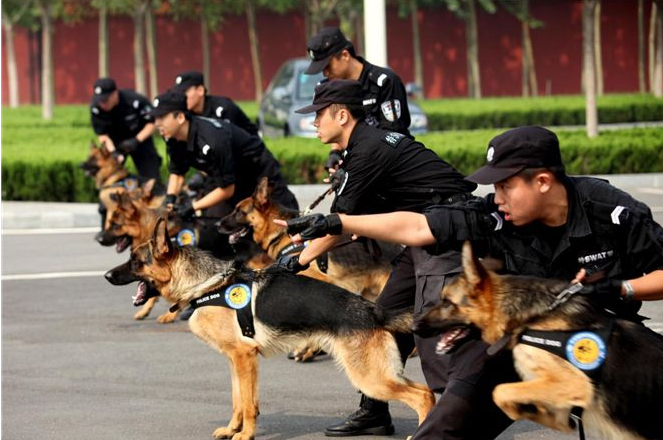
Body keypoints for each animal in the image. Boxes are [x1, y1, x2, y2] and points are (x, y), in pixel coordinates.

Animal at [104, 219, 436, 440]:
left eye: (135, 260)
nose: (107, 275)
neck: (205, 284)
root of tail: (373, 310)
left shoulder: (245, 357)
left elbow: (249, 404)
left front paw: (245, 434)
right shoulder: (235, 361)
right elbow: (238, 400)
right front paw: (232, 429)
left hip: (369, 377)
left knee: (422, 396)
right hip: (377, 374)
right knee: (426, 392)